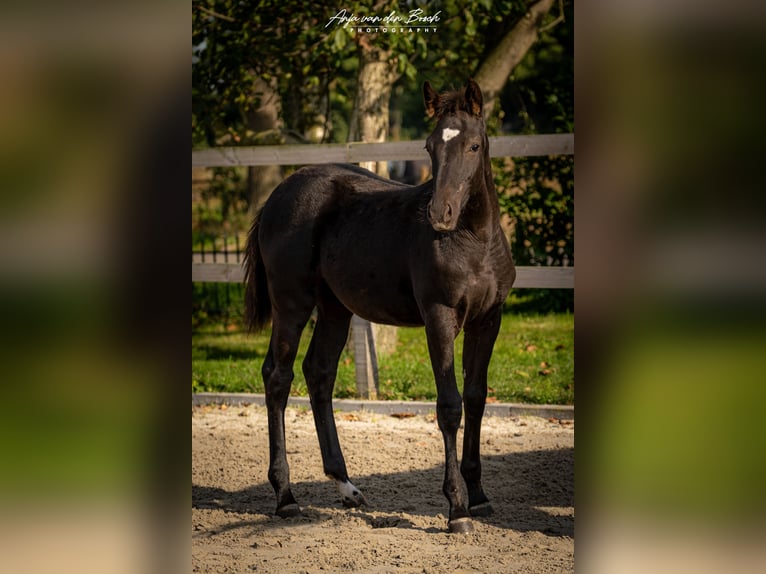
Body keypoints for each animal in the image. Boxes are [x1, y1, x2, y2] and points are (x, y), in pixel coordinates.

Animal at [243, 79, 516, 533]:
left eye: (474, 145)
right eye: (429, 146)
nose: (439, 214)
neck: (474, 240)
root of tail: (278, 194)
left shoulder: (488, 321)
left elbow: (477, 398)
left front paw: (478, 496)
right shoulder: (439, 317)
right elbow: (450, 405)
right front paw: (457, 508)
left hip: (335, 308)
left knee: (319, 373)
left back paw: (347, 487)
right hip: (291, 304)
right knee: (278, 378)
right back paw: (285, 497)